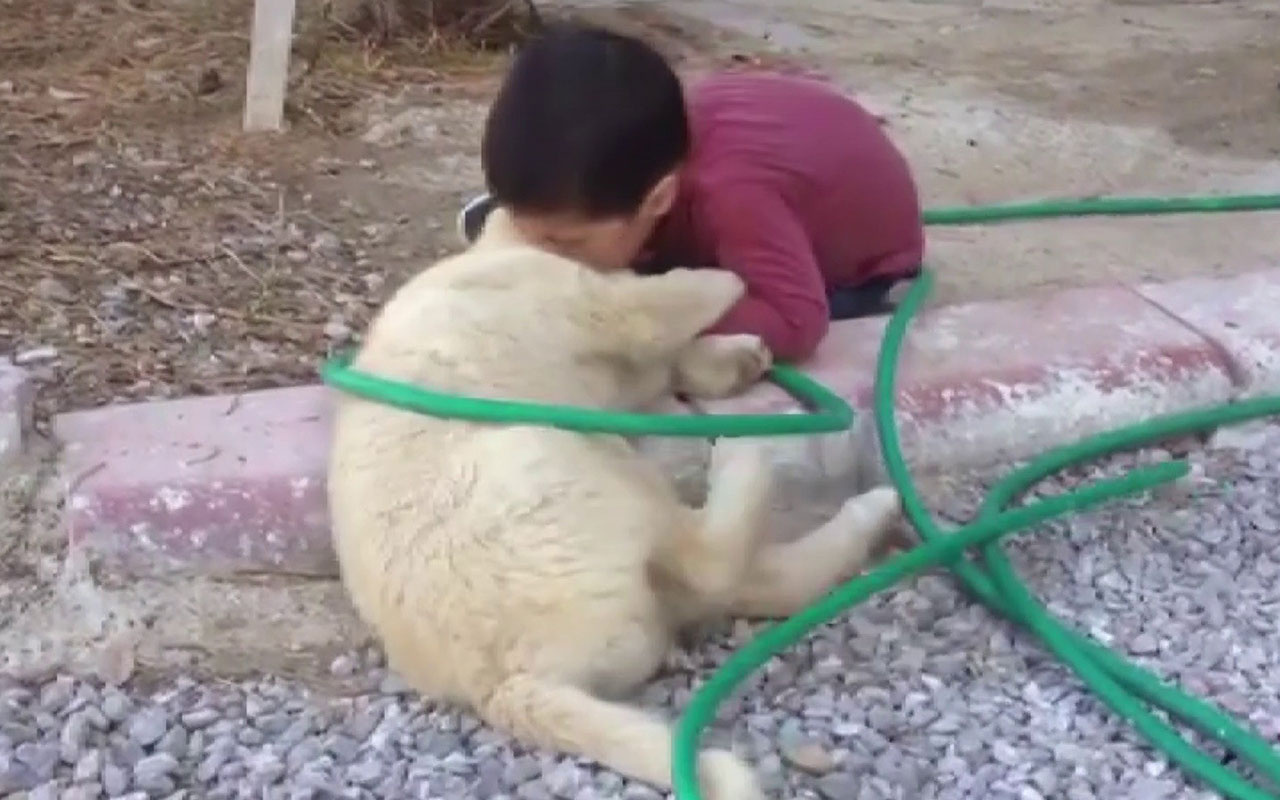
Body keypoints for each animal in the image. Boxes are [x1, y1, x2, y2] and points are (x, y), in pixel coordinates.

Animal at [330, 208, 901, 793]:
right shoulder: (594, 303)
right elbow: (660, 305)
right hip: (562, 462)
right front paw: (723, 289)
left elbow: (663, 357)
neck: (493, 255)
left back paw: (868, 510)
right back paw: (749, 459)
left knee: (742, 583)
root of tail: (504, 682)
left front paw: (734, 357)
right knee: (711, 567)